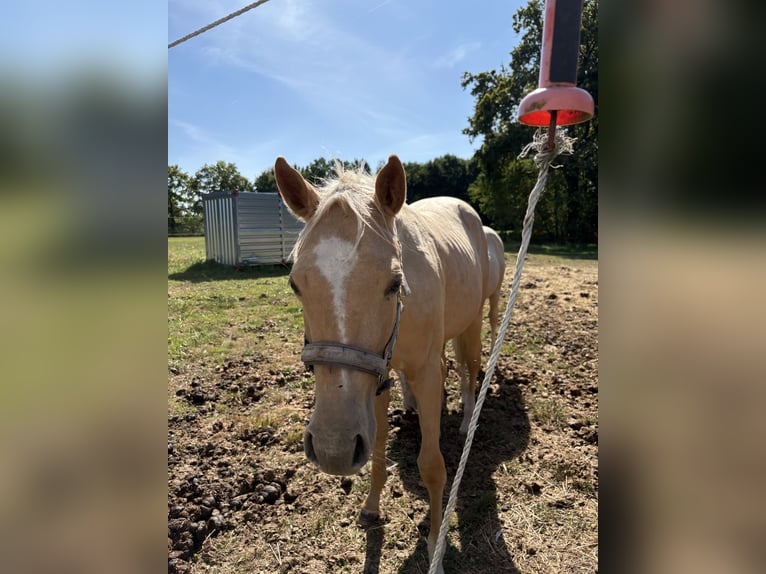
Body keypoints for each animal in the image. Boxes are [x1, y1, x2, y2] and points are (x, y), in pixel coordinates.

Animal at [274, 154, 489, 573]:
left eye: (393, 282)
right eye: (295, 285)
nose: (333, 448)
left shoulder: (425, 373)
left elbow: (431, 465)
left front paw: (435, 546)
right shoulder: (374, 378)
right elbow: (375, 450)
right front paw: (372, 507)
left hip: (473, 321)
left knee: (469, 368)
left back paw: (467, 416)